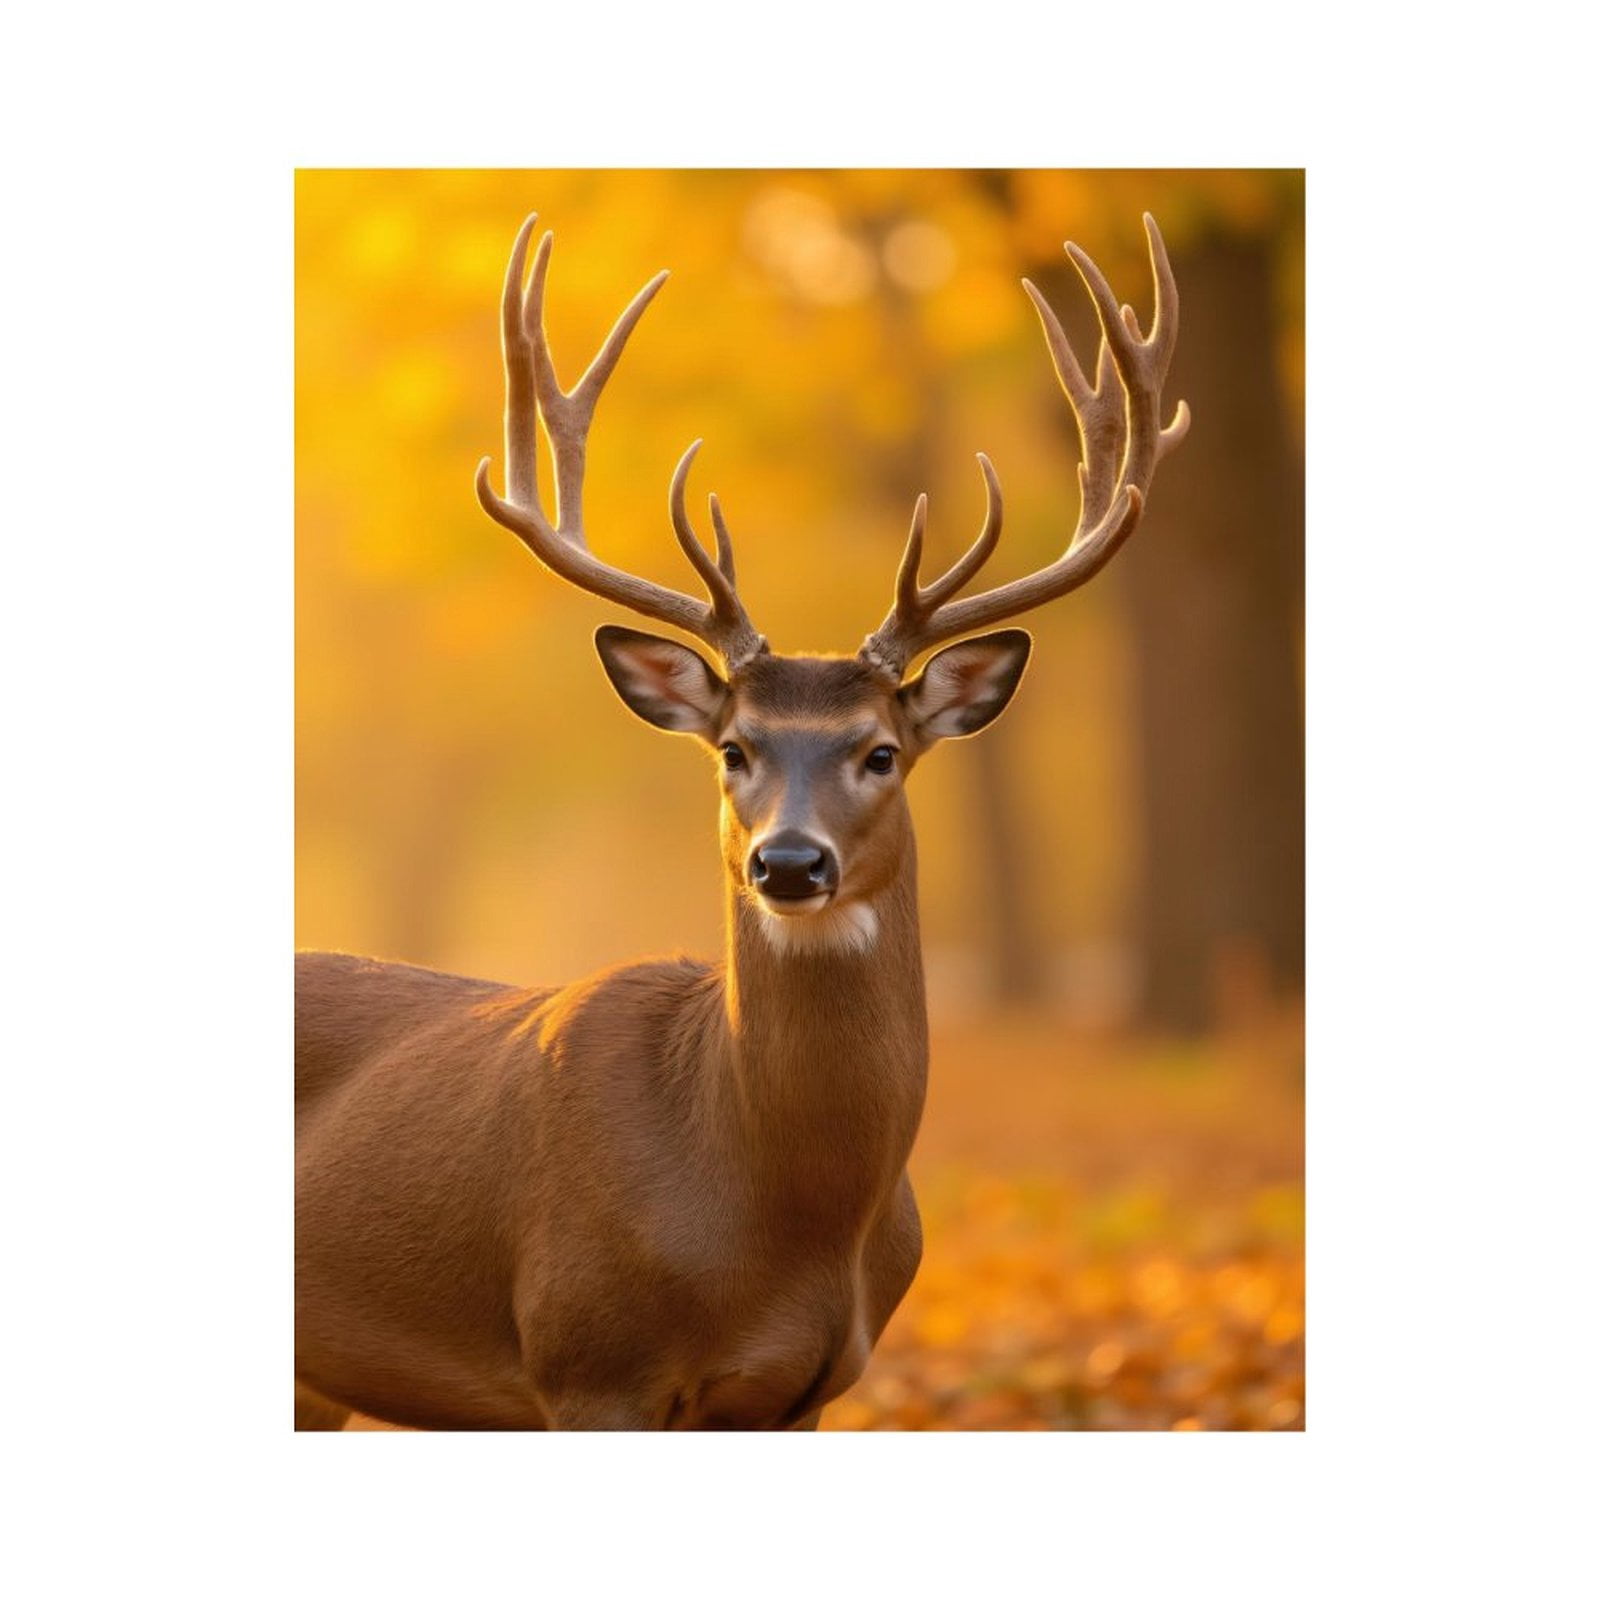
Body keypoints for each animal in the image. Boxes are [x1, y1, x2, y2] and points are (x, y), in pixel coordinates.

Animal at [294, 208, 1188, 1431]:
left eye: (880, 752)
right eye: (734, 749)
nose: (790, 863)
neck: (782, 1222)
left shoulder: (805, 1388)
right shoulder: (587, 1358)